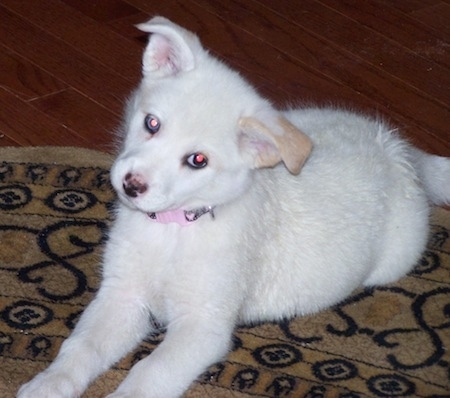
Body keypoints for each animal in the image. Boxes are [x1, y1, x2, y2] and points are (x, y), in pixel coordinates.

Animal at [19, 16, 450, 398]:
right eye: (152, 123)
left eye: (197, 160)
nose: (131, 185)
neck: (173, 230)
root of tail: (396, 149)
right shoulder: (122, 296)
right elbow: (81, 346)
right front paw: (48, 384)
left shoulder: (203, 325)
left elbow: (150, 372)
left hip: (393, 258)